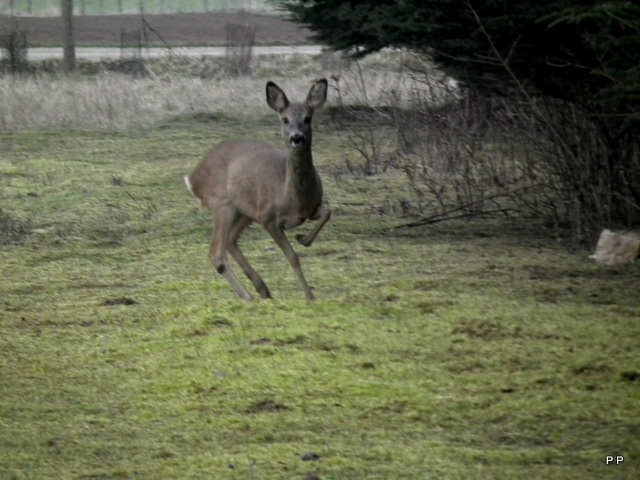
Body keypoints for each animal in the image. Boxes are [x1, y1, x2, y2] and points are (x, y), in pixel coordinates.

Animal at [181, 80, 328, 302]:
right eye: (285, 119)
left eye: (307, 118)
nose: (297, 138)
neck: (291, 197)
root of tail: (193, 179)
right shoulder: (268, 218)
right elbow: (292, 257)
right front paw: (310, 297)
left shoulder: (311, 209)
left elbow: (327, 212)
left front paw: (303, 239)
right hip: (222, 204)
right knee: (216, 252)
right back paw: (248, 297)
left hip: (245, 211)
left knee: (230, 241)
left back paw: (262, 289)